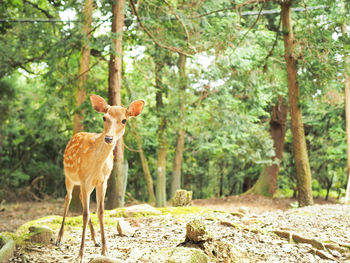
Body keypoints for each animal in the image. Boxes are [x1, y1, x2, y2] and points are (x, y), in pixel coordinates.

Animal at [56, 95, 144, 263]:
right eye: (104, 117)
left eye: (124, 120)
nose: (109, 138)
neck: (96, 165)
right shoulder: (84, 178)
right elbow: (84, 215)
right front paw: (80, 254)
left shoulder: (103, 181)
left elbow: (101, 211)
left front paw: (105, 249)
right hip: (68, 176)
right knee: (68, 198)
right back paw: (59, 239)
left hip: (88, 184)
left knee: (80, 198)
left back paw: (95, 239)